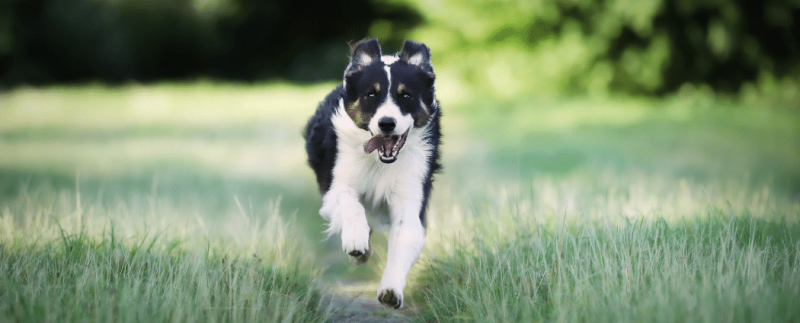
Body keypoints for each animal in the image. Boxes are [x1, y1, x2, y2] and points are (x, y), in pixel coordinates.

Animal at [304, 38, 440, 308]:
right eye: (371, 95)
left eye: (406, 95)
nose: (386, 123)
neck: (380, 161)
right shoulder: (334, 187)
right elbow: (350, 203)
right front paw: (356, 240)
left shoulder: (410, 198)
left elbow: (403, 239)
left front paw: (391, 290)